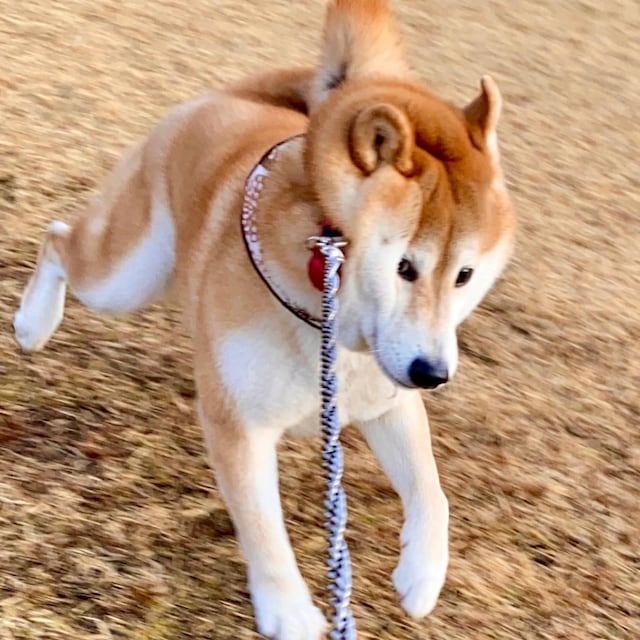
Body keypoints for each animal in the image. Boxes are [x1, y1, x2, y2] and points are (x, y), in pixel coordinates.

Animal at [13, 0, 516, 637]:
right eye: (405, 267)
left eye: (465, 275)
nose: (434, 374)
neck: (331, 324)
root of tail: (231, 97)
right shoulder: (240, 426)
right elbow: (262, 527)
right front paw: (290, 612)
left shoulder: (389, 400)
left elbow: (432, 490)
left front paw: (422, 575)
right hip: (125, 278)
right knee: (57, 240)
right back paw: (33, 323)